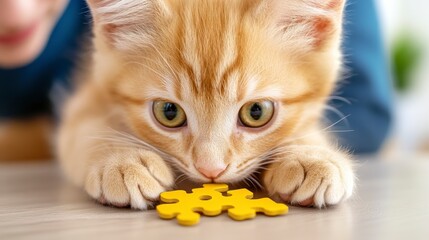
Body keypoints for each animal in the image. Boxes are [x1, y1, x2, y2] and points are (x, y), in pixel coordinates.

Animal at [59, 0, 354, 209]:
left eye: (256, 112)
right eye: (169, 113)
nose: (211, 169)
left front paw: (311, 156)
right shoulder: (88, 99)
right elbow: (86, 129)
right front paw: (122, 161)